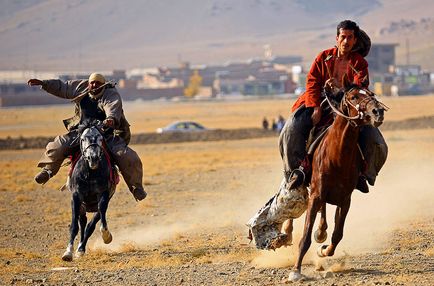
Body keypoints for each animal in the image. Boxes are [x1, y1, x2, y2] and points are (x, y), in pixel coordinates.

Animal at [61, 120, 118, 262]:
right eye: (82, 139)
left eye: (100, 138)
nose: (93, 158)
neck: (90, 173)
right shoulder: (76, 197)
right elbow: (74, 226)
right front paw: (68, 252)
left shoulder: (104, 194)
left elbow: (96, 220)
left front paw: (106, 235)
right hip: (82, 206)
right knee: (82, 222)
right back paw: (78, 249)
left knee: (89, 225)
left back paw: (81, 248)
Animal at [288, 77, 386, 280]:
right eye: (353, 96)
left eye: (371, 94)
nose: (378, 112)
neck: (337, 156)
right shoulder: (316, 195)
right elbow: (305, 236)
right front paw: (295, 270)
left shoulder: (345, 199)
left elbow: (337, 234)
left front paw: (323, 250)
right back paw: (287, 231)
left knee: (325, 215)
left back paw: (321, 232)